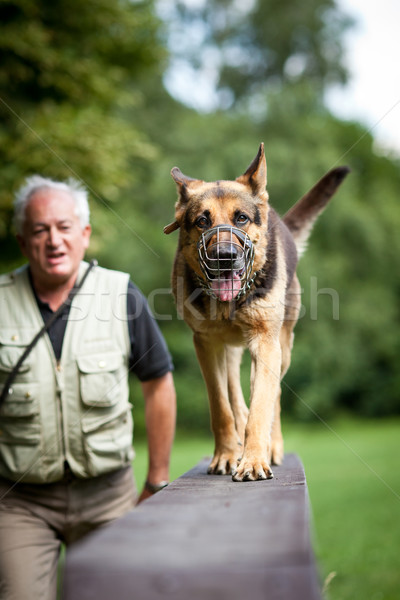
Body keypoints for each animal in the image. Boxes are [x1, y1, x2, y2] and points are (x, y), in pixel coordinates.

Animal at [164, 144, 348, 482]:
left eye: (241, 218)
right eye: (202, 221)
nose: (224, 257)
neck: (230, 303)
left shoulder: (265, 343)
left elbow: (262, 404)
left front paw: (253, 460)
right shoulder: (206, 345)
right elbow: (221, 406)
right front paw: (226, 454)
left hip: (280, 349)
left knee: (272, 397)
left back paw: (270, 446)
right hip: (231, 351)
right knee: (236, 395)